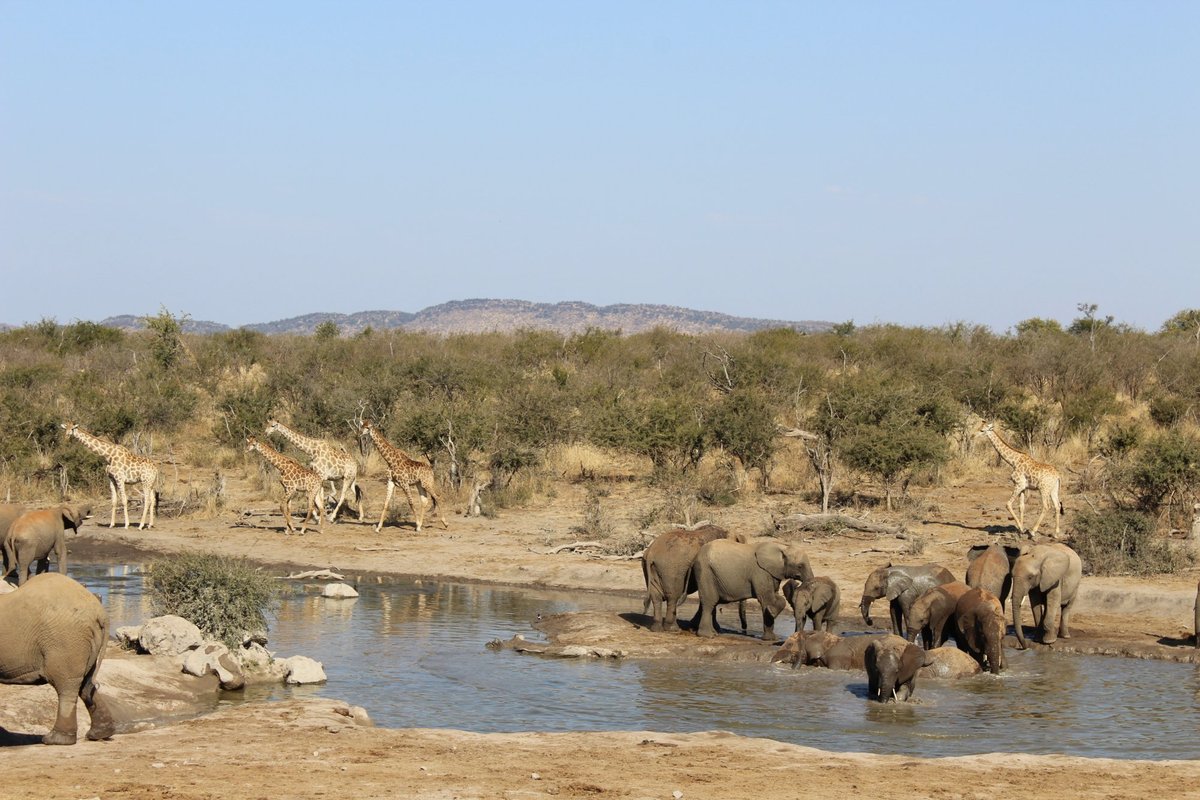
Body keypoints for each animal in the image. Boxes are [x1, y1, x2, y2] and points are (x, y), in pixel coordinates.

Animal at [0, 573, 114, 743]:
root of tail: (100, 612)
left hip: (65, 640)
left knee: (66, 684)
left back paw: (55, 740)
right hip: (84, 642)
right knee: (86, 684)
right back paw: (100, 734)